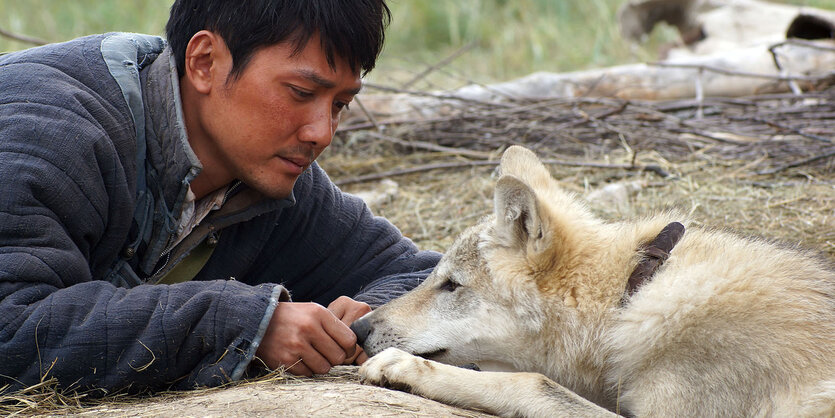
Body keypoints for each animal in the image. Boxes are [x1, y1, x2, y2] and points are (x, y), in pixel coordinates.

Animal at [352, 145, 835, 416]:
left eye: (451, 285)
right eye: (436, 277)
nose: (357, 327)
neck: (629, 297)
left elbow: (531, 382)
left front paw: (403, 367)